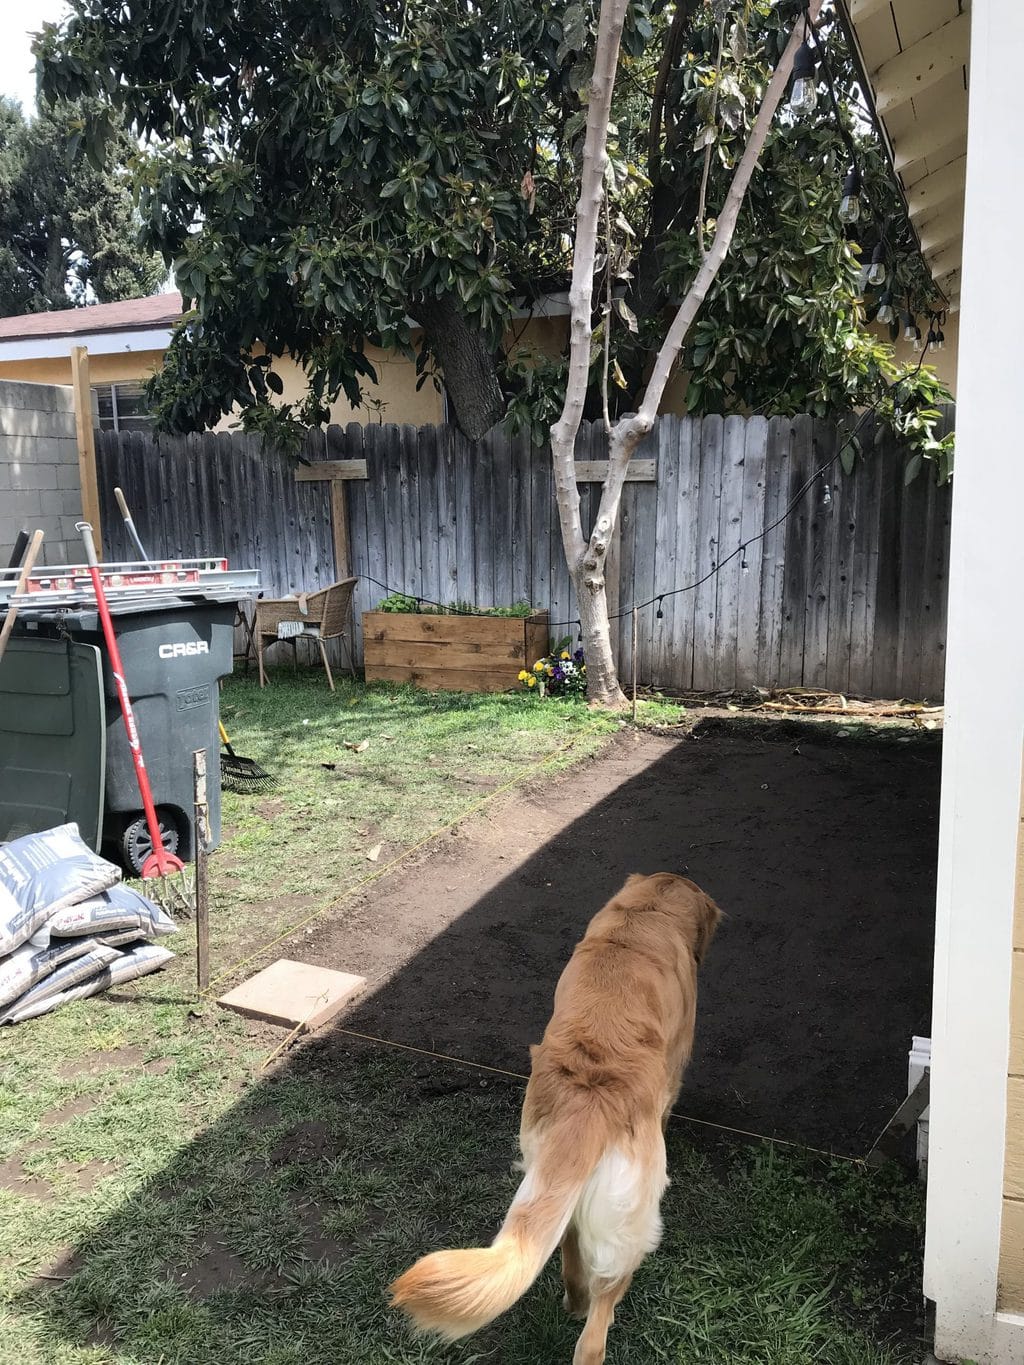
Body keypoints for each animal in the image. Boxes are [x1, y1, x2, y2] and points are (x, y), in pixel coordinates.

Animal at [390, 873, 720, 1365]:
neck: (642, 919)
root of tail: (589, 1102)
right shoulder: (676, 1063)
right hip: (629, 1227)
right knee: (597, 1325)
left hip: (551, 1182)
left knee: (570, 1256)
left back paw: (572, 1301)